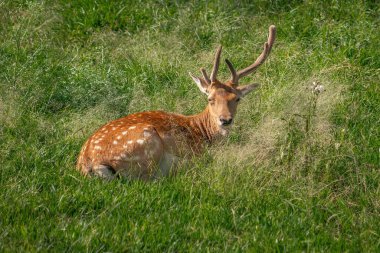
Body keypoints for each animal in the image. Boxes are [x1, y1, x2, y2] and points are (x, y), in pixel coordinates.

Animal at [76, 25, 276, 180]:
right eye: (210, 99)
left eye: (237, 99)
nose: (225, 120)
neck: (203, 131)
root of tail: (88, 163)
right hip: (146, 144)